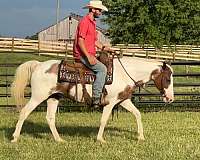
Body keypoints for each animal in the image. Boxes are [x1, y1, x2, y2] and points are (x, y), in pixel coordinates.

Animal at [10, 56, 173, 142]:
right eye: (167, 79)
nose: (170, 99)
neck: (124, 73)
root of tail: (38, 65)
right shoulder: (110, 103)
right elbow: (104, 120)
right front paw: (100, 139)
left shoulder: (123, 100)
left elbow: (137, 114)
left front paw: (141, 137)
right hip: (38, 96)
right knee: (24, 113)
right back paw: (15, 138)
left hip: (53, 97)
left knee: (50, 118)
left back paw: (59, 140)